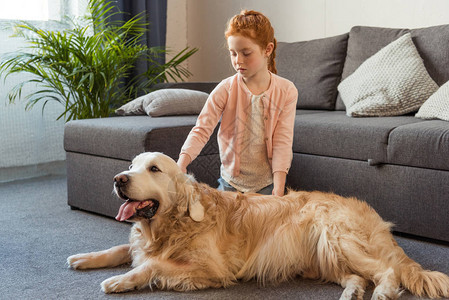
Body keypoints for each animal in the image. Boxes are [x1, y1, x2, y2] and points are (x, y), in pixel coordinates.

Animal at [68, 154, 448, 298]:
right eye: (131, 165)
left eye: (154, 169)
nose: (118, 179)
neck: (171, 225)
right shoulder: (142, 242)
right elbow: (123, 248)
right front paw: (84, 258)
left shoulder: (211, 269)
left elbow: (153, 265)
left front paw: (120, 280)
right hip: (325, 255)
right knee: (356, 276)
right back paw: (351, 292)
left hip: (337, 237)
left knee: (388, 271)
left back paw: (382, 292)